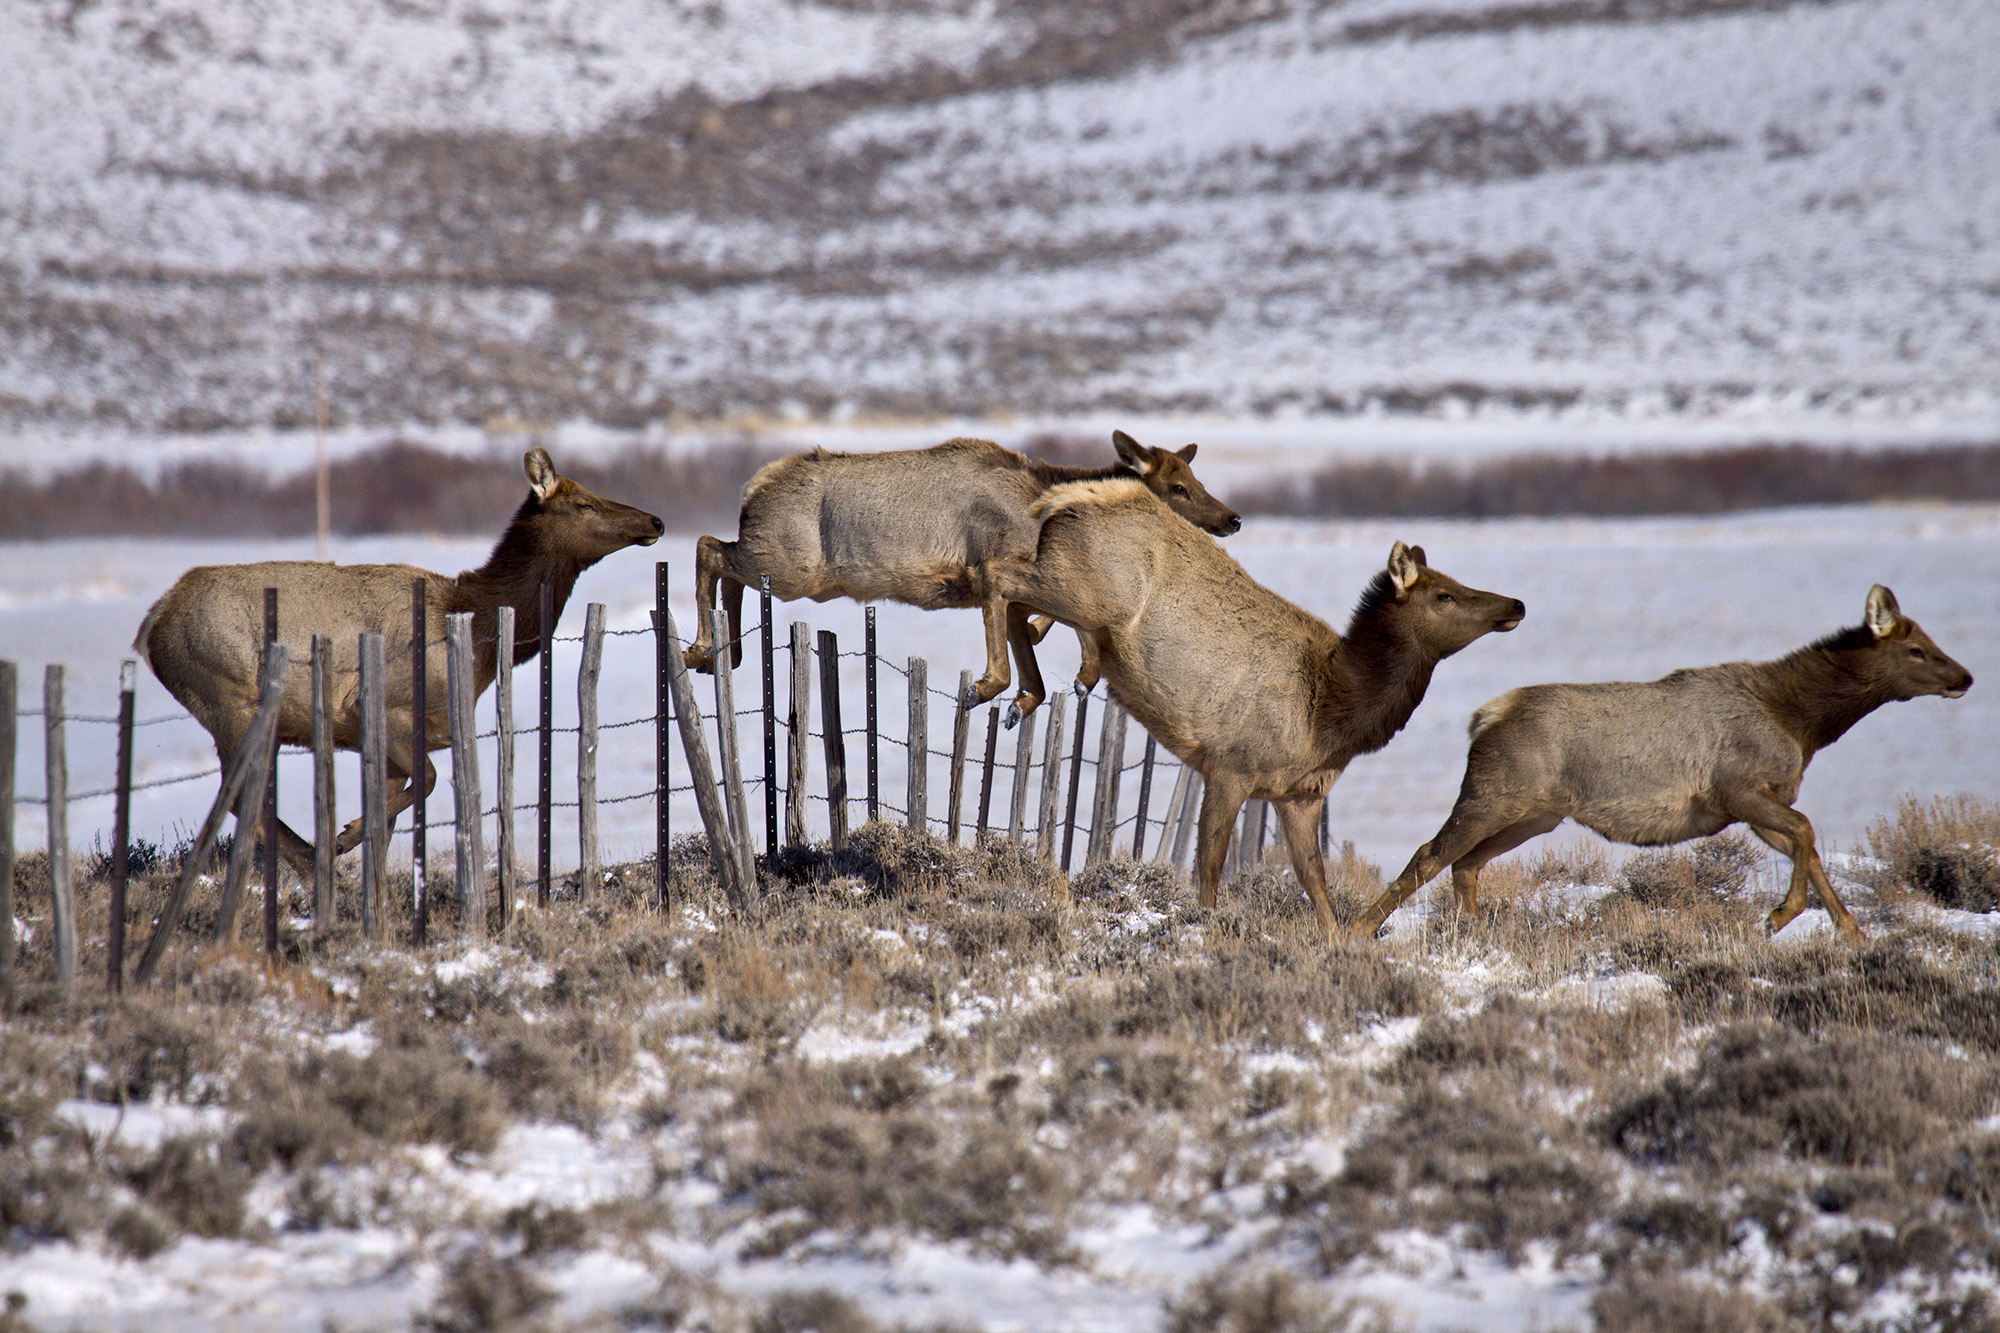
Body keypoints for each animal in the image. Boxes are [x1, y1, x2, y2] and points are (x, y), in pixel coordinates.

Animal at [135, 448, 664, 880]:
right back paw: (317, 860)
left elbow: (389, 820)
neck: (477, 630)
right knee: (242, 794)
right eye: (585, 504)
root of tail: (154, 621)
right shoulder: (389, 708)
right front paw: (346, 833)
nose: (656, 521)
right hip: (230, 698)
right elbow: (424, 783)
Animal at [684, 430, 1232, 684]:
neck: (1042, 510)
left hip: (776, 562)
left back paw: (726, 654)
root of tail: (752, 490)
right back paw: (700, 649)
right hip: (791, 564)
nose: (1231, 519)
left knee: (725, 564)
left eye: (1196, 476)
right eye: (1178, 487)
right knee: (708, 547)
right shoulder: (995, 562)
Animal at [968, 478, 1512, 932]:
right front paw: (1207, 927)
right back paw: (993, 684)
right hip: (1086, 591)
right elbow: (1209, 866)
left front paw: (1339, 942)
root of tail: (1065, 499)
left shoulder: (1300, 795)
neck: (1331, 716)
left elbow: (1315, 882)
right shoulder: (1230, 765)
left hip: (1074, 591)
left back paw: (1027, 696)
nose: (1515, 605)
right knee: (997, 573)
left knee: (1017, 602)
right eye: (1444, 595)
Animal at [1352, 584, 1976, 944]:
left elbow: (1810, 847)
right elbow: (1806, 831)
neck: (1801, 721)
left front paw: (1853, 934)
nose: (1965, 676)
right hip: (1494, 793)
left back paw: (1476, 935)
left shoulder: (1756, 807)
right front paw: (1777, 916)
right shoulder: (1737, 788)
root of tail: (1485, 718)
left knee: (1465, 863)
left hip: (1535, 814)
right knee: (1431, 854)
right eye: (1916, 649)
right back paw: (1357, 931)